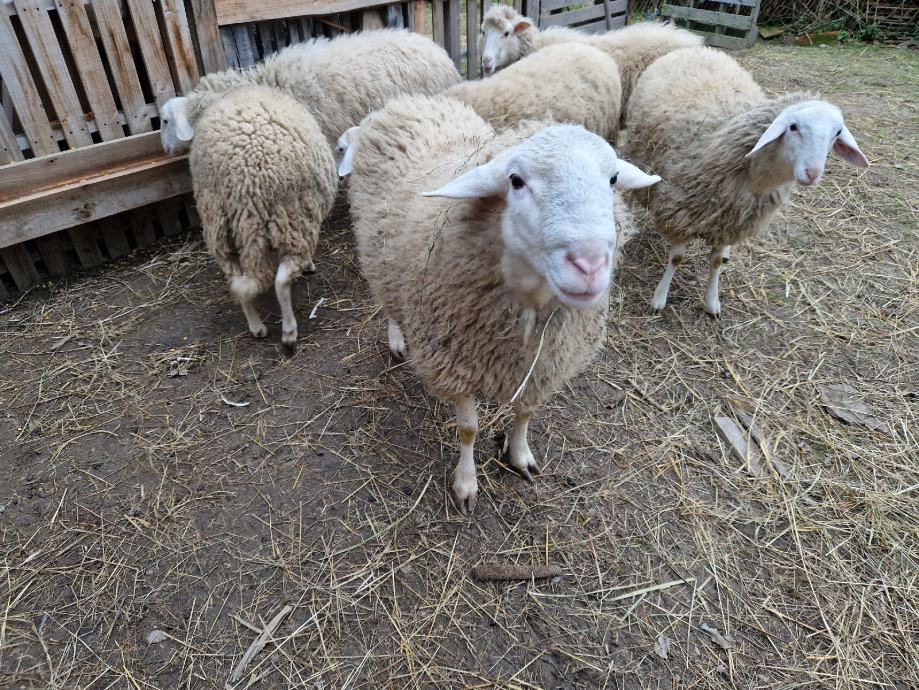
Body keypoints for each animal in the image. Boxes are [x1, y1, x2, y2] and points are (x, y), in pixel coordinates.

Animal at [191, 85, 337, 346]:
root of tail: (244, 183)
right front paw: (310, 266)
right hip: (292, 218)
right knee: (281, 280)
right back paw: (289, 331)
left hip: (219, 226)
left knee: (239, 283)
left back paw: (256, 326)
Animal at [346, 95, 660, 514]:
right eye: (515, 181)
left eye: (612, 179)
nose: (590, 265)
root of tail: (411, 100)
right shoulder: (453, 363)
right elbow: (468, 429)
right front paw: (466, 483)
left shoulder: (540, 365)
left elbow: (525, 411)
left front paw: (519, 453)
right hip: (375, 252)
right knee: (387, 300)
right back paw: (397, 338)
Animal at [624, 46, 868, 317]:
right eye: (793, 127)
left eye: (837, 133)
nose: (812, 173)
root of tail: (696, 48)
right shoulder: (681, 211)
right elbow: (676, 259)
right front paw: (659, 298)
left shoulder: (730, 220)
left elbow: (716, 262)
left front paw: (712, 301)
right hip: (638, 149)